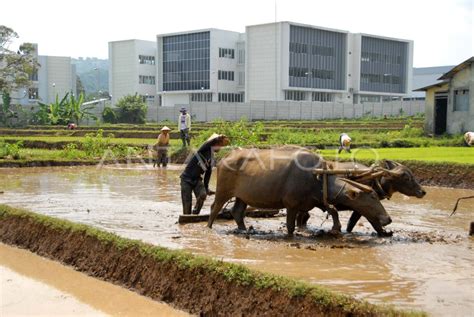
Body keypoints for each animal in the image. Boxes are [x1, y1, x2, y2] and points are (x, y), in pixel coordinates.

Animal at [207, 148, 392, 235]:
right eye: (373, 196)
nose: (388, 219)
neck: (318, 178)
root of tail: (224, 158)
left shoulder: (315, 202)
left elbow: (332, 209)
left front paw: (336, 228)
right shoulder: (291, 205)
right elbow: (290, 226)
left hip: (242, 196)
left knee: (237, 211)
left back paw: (244, 230)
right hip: (223, 192)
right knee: (214, 208)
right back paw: (209, 227)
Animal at [296, 159, 426, 231]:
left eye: (412, 174)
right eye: (407, 178)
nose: (423, 191)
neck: (374, 180)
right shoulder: (362, 207)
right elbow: (357, 223)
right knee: (302, 217)